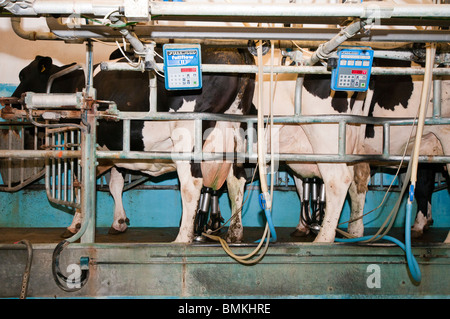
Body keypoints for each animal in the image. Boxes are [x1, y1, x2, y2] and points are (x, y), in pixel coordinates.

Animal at [10, 48, 255, 242]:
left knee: (191, 183)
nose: (13, 100)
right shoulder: (117, 149)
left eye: (24, 75)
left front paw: (75, 225)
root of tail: (232, 51)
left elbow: (80, 184)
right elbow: (115, 184)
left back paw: (182, 238)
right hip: (234, 137)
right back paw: (235, 232)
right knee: (237, 180)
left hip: (187, 136)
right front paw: (118, 222)